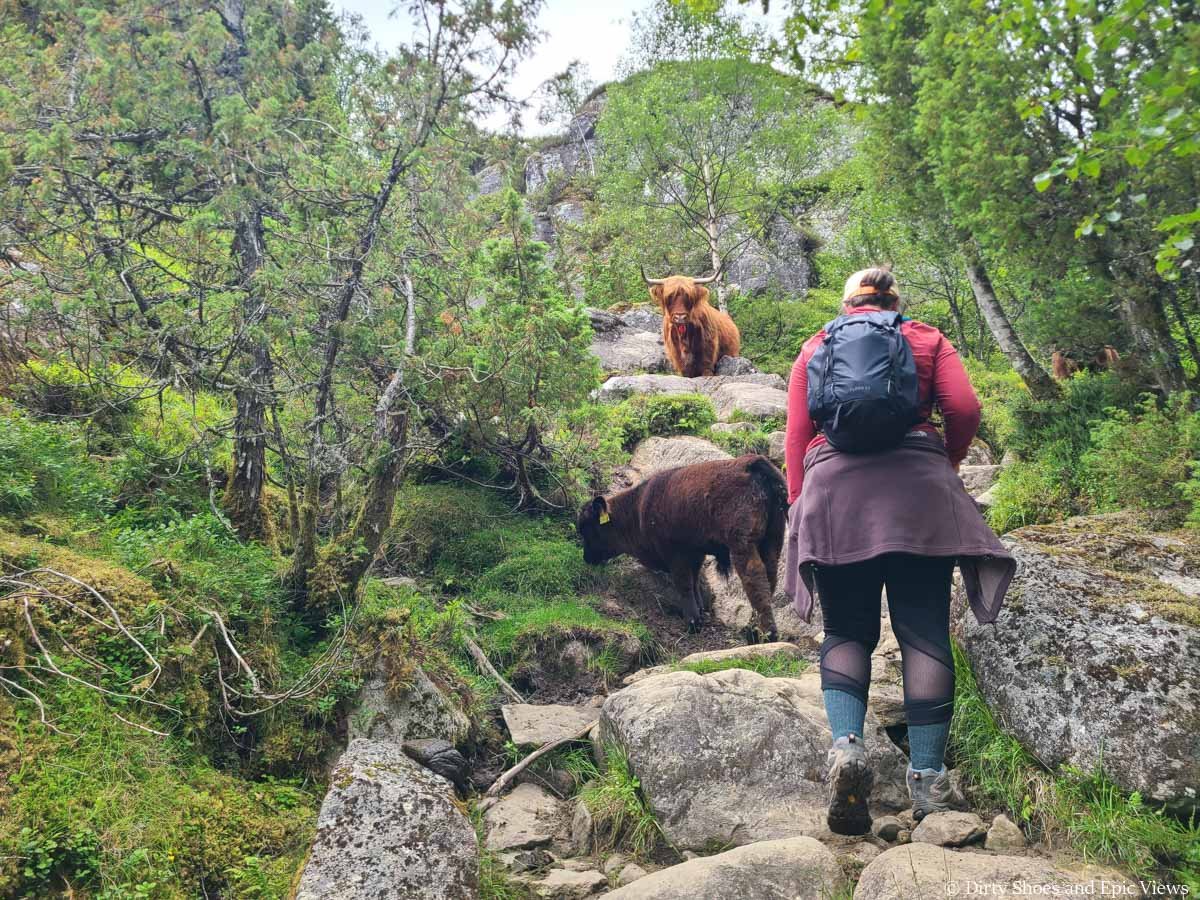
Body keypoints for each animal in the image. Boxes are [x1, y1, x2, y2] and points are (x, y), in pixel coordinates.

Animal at [576, 455, 787, 643]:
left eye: (587, 528)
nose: (587, 558)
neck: (639, 508)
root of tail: (751, 464)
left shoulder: (675, 553)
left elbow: (684, 583)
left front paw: (693, 622)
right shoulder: (694, 552)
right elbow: (694, 580)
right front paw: (700, 611)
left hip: (743, 544)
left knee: (754, 577)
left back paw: (765, 634)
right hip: (772, 540)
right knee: (770, 577)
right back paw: (754, 629)